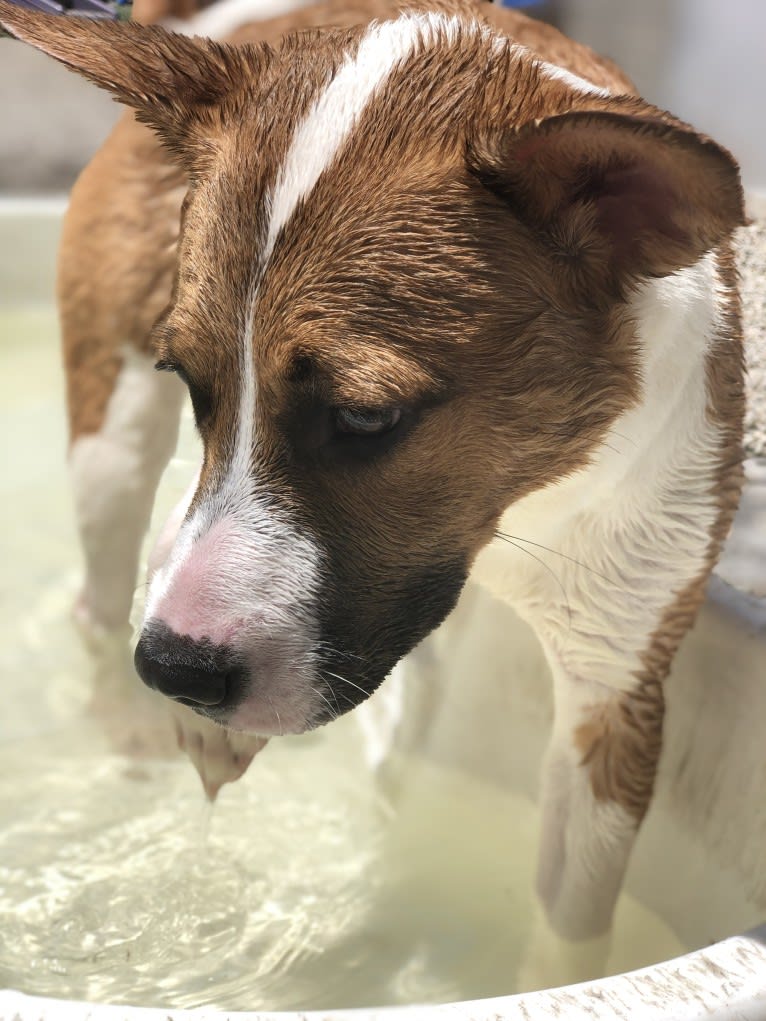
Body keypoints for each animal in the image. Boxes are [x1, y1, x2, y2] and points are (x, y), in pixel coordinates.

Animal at [0, 0, 747, 992]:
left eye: (365, 416)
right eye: (192, 383)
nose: (176, 669)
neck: (519, 502)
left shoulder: (620, 677)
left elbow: (572, 914)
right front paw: (195, 727)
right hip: (110, 442)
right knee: (99, 587)